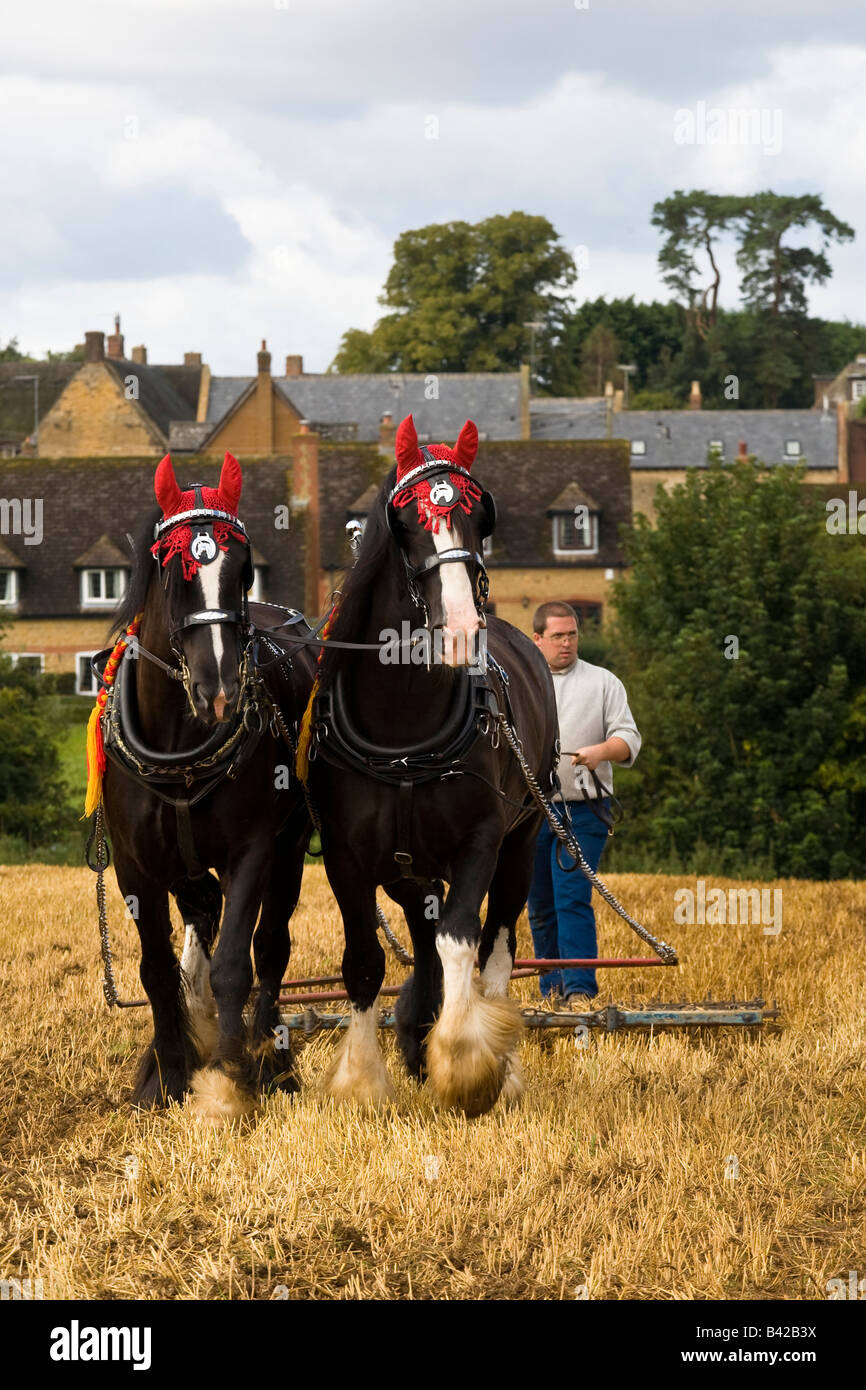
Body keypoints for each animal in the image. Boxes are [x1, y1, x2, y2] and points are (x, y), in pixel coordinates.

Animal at [98, 452, 315, 1122]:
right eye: (174, 574)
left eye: (244, 571)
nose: (218, 690)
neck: (178, 745)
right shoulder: (135, 866)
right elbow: (157, 970)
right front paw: (168, 1076)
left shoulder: (252, 850)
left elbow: (232, 968)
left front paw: (229, 1076)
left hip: (290, 847)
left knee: (271, 946)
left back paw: (271, 1057)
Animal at [305, 415, 559, 1117]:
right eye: (408, 521)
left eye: (479, 516)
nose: (462, 630)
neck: (404, 725)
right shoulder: (346, 855)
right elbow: (365, 959)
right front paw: (363, 1082)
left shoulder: (481, 841)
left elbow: (460, 938)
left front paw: (466, 1062)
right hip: (407, 868)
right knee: (421, 936)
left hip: (522, 841)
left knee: (496, 949)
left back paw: (499, 1065)